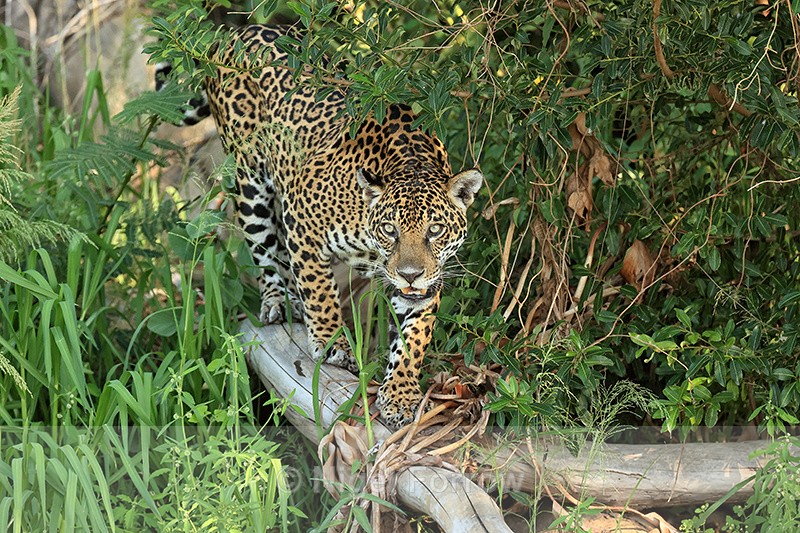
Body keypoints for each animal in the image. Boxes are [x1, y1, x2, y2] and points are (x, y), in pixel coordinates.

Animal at [155, 24, 483, 429]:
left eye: (435, 230)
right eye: (390, 230)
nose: (409, 274)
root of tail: (238, 32)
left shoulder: (427, 282)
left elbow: (414, 339)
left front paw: (401, 395)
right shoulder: (302, 221)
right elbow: (320, 292)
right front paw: (331, 344)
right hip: (250, 180)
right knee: (266, 249)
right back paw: (279, 302)